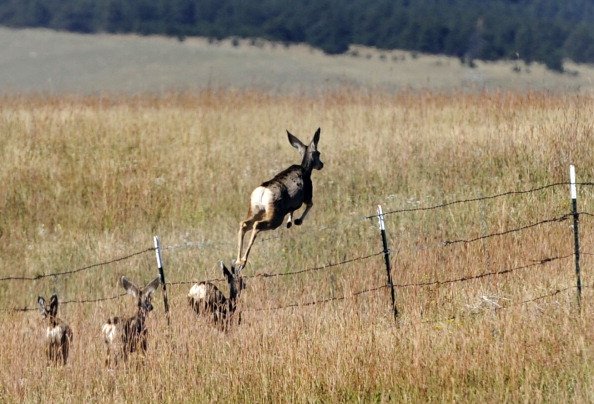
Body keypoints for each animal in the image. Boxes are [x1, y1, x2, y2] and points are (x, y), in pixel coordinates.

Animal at [235, 129, 324, 266]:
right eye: (318, 153)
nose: (321, 165)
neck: (305, 170)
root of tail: (263, 192)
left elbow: (292, 210)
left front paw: (290, 222)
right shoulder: (308, 195)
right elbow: (310, 205)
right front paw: (297, 221)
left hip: (255, 210)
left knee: (243, 223)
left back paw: (238, 260)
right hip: (274, 217)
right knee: (256, 225)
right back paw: (244, 260)